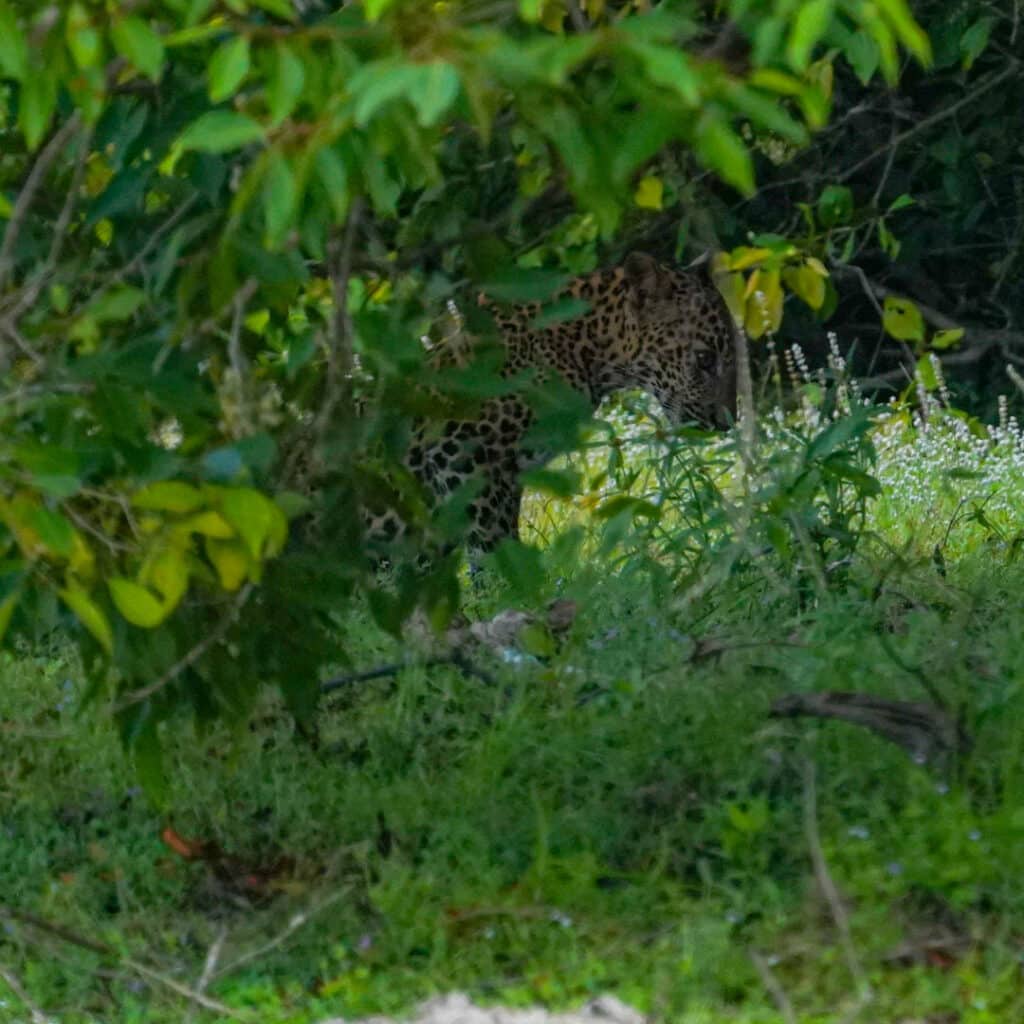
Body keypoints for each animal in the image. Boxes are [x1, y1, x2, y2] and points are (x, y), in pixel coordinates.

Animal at [366, 251, 737, 557]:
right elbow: (490, 541)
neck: (584, 348)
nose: (727, 422)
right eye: (704, 359)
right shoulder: (460, 452)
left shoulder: (509, 472)